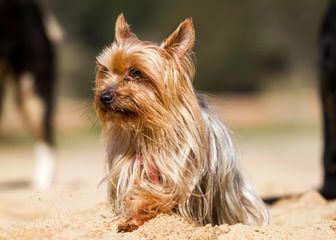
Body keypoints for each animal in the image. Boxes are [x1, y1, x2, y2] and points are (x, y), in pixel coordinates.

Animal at [94, 14, 268, 232]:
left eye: (135, 72)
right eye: (105, 71)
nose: (104, 96)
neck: (148, 127)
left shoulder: (178, 173)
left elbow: (156, 194)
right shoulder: (131, 166)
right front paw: (130, 218)